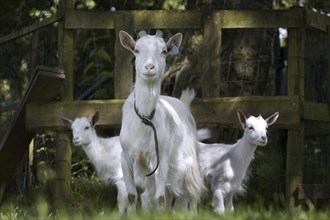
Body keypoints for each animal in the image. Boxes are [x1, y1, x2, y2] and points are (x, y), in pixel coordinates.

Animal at [118, 30, 204, 212]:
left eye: (164, 51)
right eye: (136, 50)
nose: (149, 68)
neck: (144, 119)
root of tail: (183, 103)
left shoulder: (161, 158)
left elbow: (160, 198)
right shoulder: (127, 156)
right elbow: (132, 196)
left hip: (189, 160)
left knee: (192, 190)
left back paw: (191, 212)